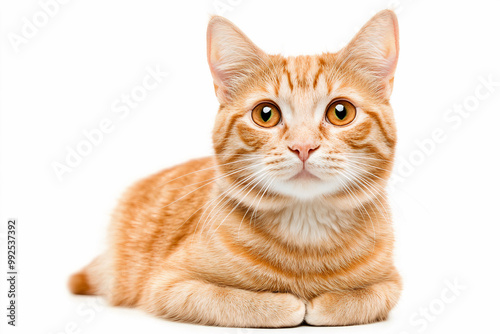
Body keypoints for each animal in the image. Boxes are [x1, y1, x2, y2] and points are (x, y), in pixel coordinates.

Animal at [68, 9, 402, 326]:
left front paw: (326, 302)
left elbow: (359, 299)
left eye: (340, 112)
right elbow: (235, 301)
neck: (305, 233)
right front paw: (286, 304)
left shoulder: (392, 283)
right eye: (266, 114)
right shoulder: (168, 286)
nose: (303, 146)